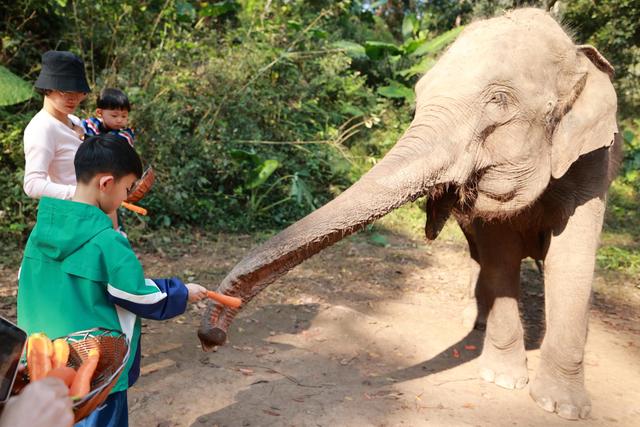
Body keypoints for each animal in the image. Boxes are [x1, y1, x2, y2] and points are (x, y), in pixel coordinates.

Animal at [199, 8, 620, 422]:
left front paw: (562, 406)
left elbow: (572, 260)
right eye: (419, 93)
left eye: (499, 100)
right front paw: (502, 379)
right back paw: (476, 322)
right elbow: (500, 253)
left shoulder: (594, 163)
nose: (211, 337)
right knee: (479, 255)